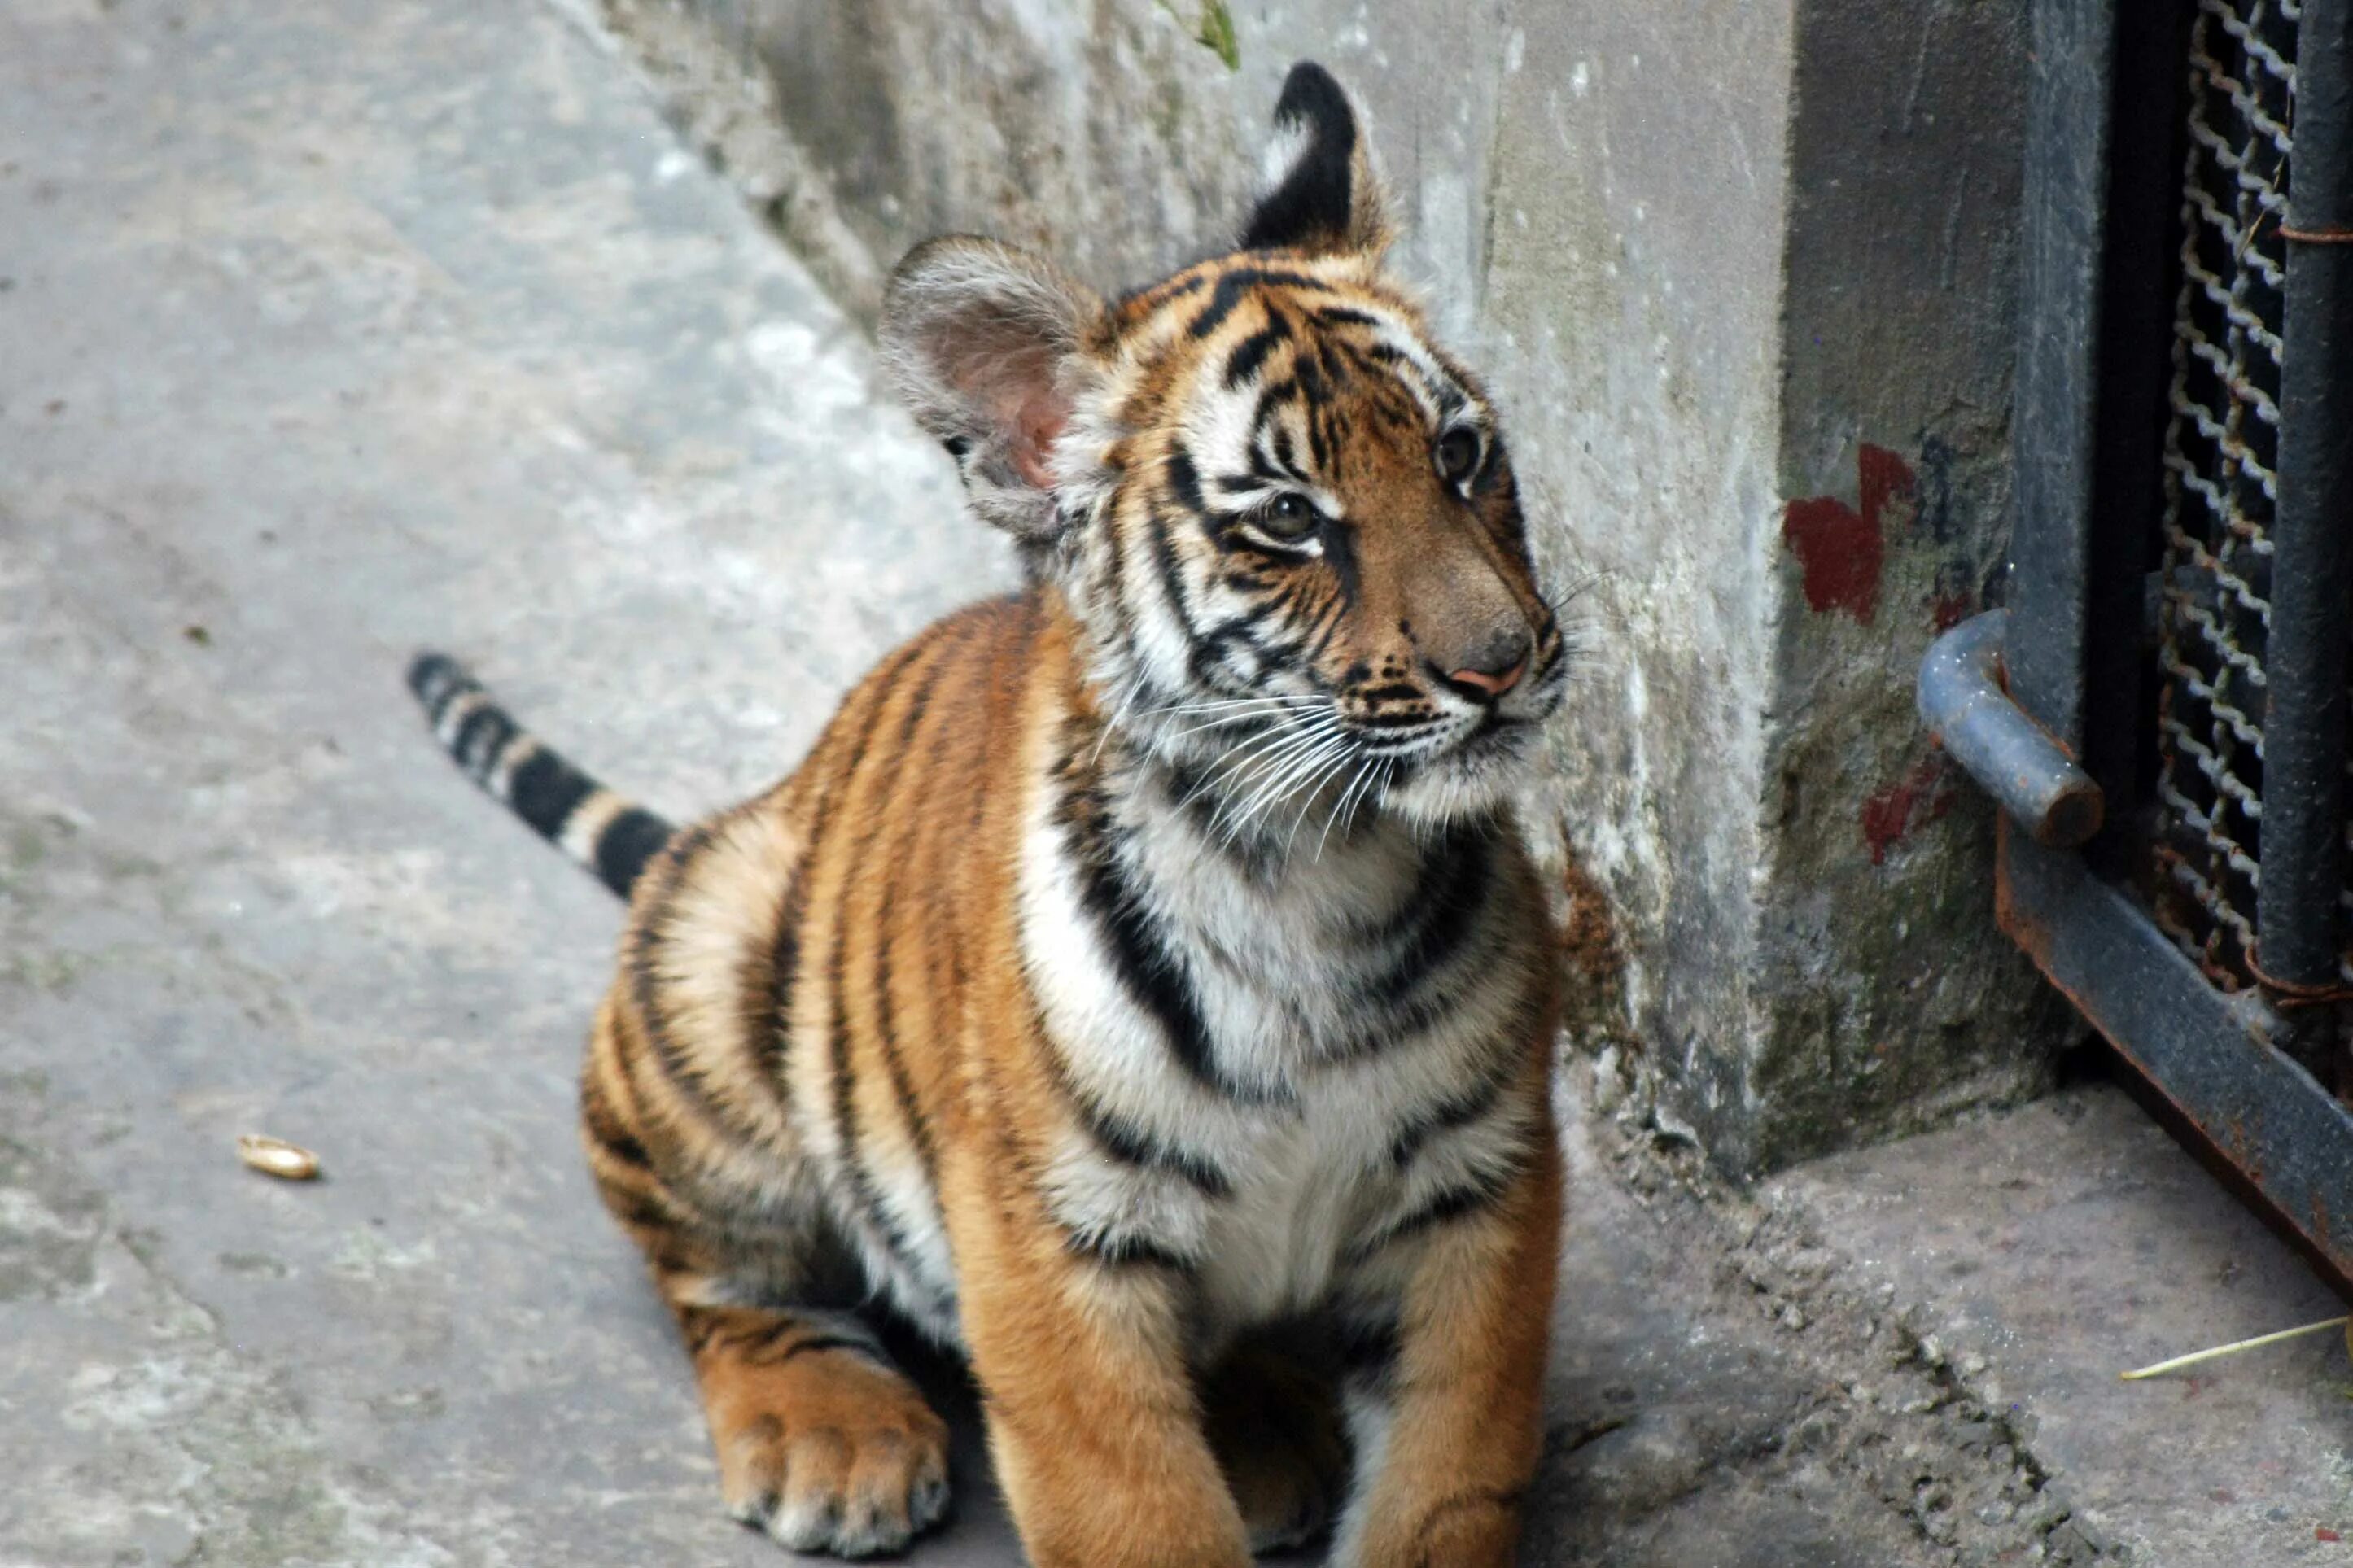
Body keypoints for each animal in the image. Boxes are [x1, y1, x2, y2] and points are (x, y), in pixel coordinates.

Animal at [409, 61, 1577, 1568]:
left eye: (1460, 451)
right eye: (1287, 520)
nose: (1503, 661)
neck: (1317, 869)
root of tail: (773, 793)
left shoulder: (1479, 1194)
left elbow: (1444, 1480)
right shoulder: (1046, 1234)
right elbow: (1135, 1506)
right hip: (712, 971)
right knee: (722, 1280)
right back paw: (832, 1437)